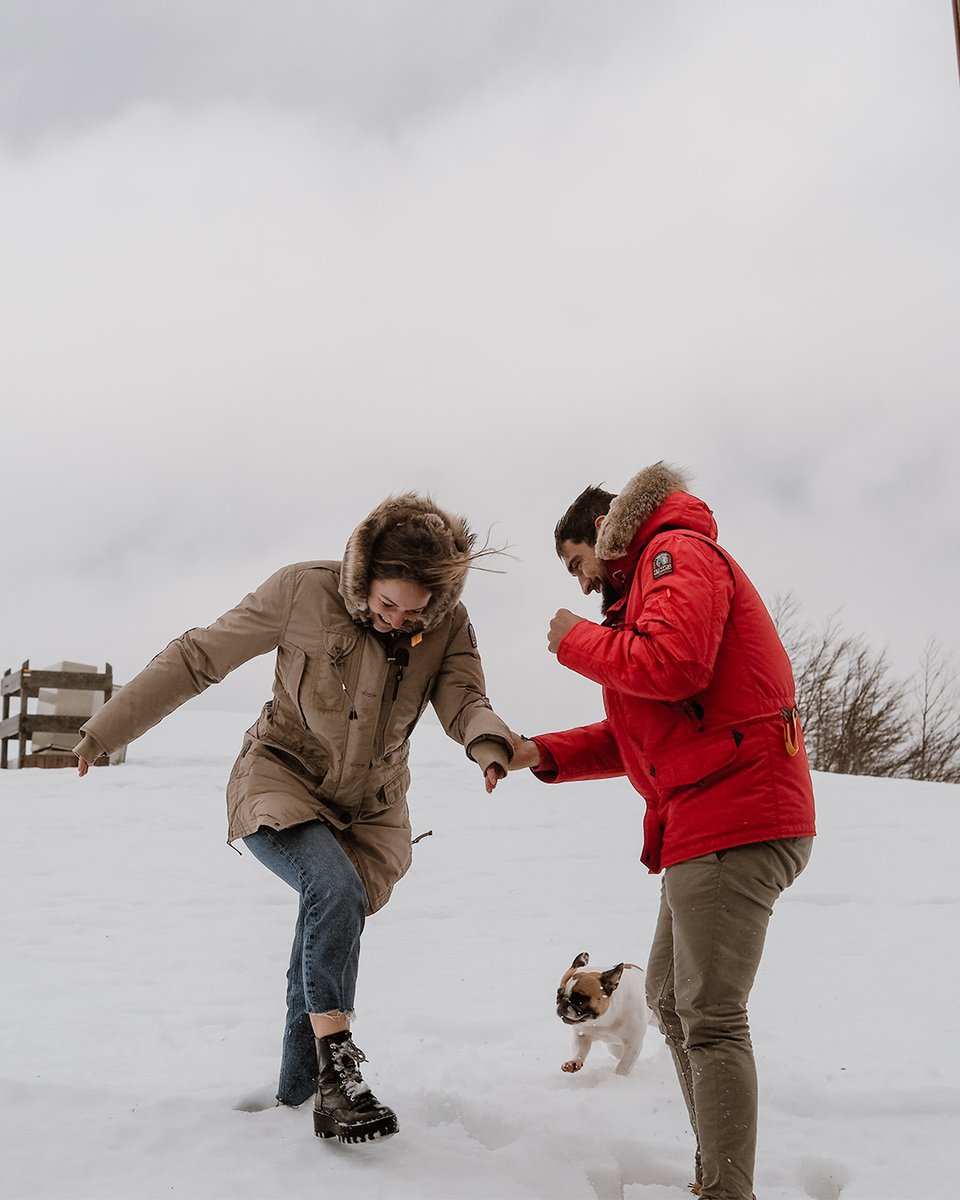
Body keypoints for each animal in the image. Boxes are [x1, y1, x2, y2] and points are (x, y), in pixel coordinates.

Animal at [554, 945, 652, 1080]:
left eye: (580, 999)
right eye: (558, 994)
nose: (564, 1003)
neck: (603, 1020)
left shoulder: (633, 1044)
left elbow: (624, 1065)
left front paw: (617, 1077)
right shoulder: (582, 1035)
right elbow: (580, 1050)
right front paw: (574, 1062)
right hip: (613, 1047)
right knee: (617, 1052)